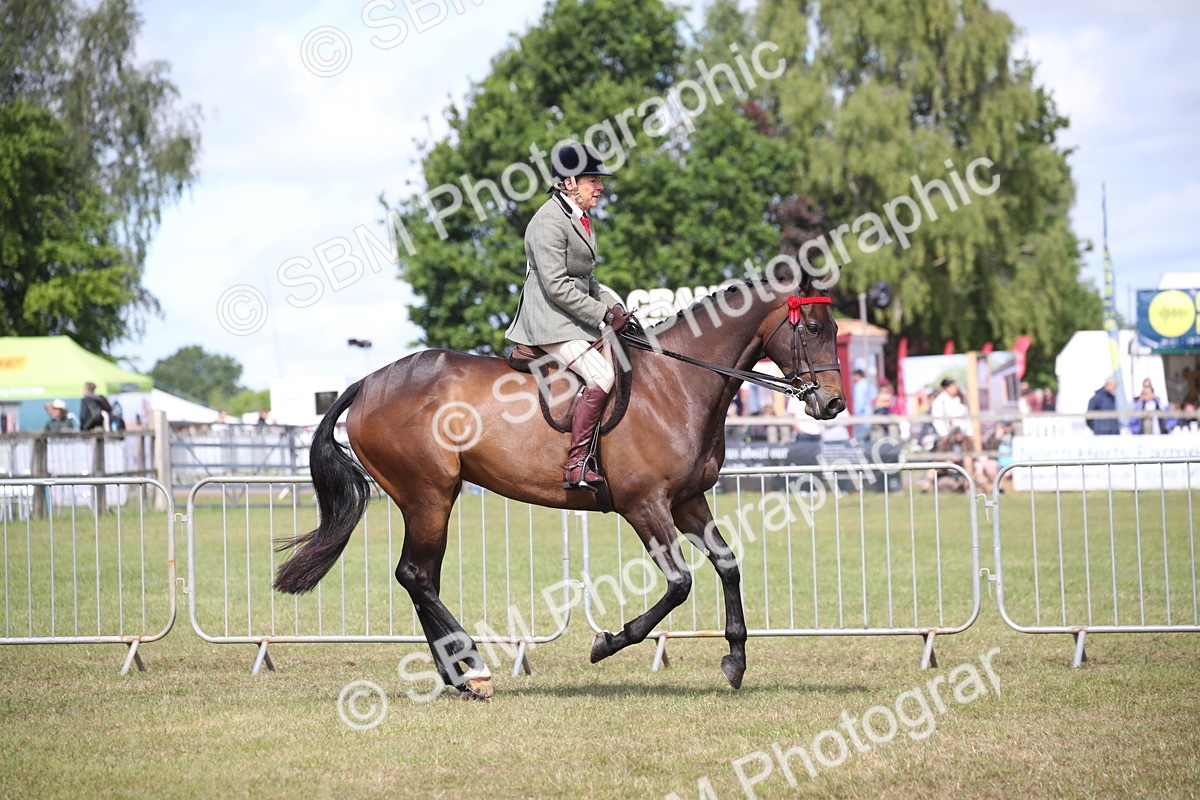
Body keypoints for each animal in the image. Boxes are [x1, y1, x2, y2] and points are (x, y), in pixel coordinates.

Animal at [274, 273, 845, 699]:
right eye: (815, 328)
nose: (834, 404)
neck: (675, 384)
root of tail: (368, 382)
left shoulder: (687, 500)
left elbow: (727, 565)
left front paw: (735, 661)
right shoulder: (645, 506)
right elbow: (680, 583)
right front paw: (608, 641)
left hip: (431, 499)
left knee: (420, 578)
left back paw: (457, 674)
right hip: (428, 495)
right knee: (415, 575)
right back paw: (473, 668)